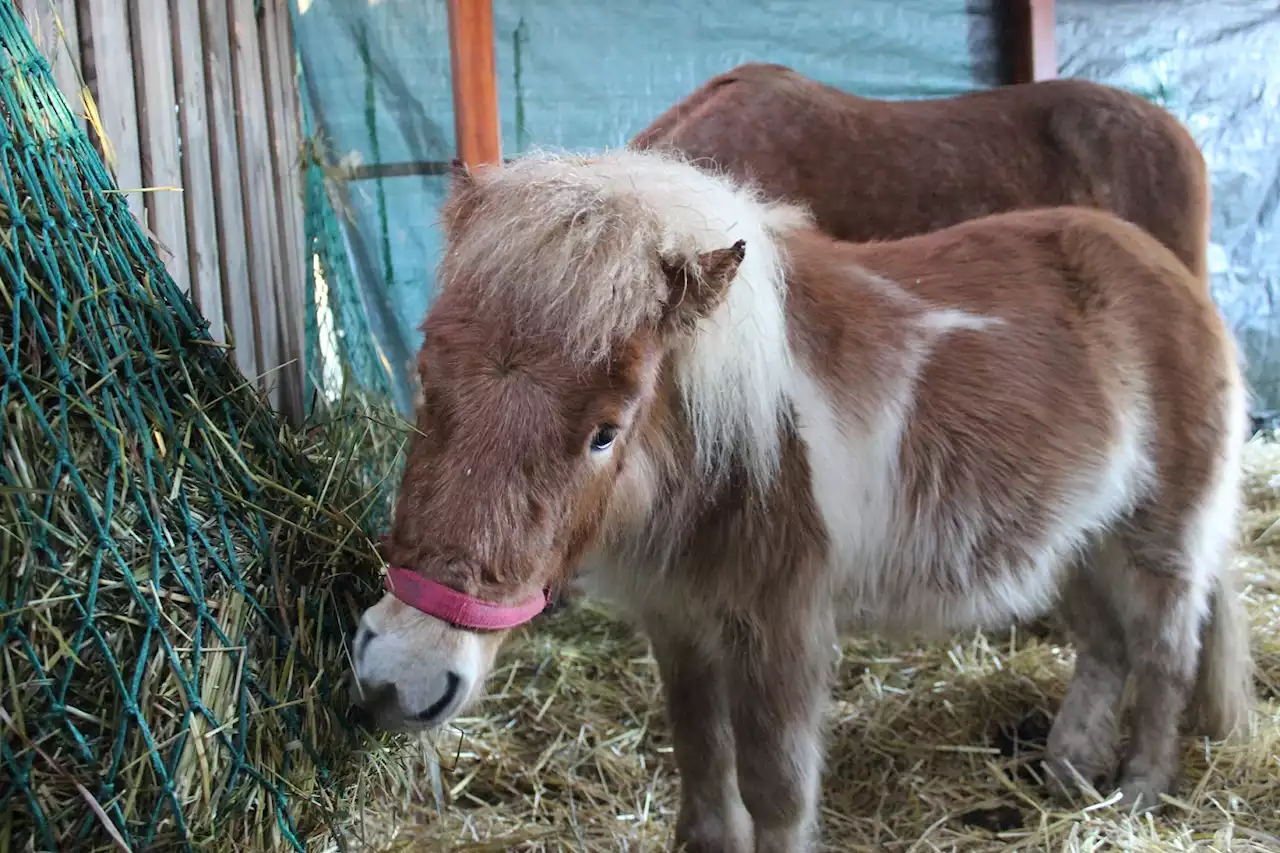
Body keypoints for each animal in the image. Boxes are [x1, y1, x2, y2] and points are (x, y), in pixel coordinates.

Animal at [355, 147, 1254, 850]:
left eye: (605, 432)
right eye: (427, 380)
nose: (404, 673)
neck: (735, 452)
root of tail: (1168, 274)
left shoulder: (780, 628)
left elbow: (775, 789)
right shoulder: (679, 620)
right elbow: (702, 763)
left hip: (1159, 542)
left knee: (1165, 652)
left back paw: (1137, 790)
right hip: (1075, 543)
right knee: (1105, 646)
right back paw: (1066, 771)